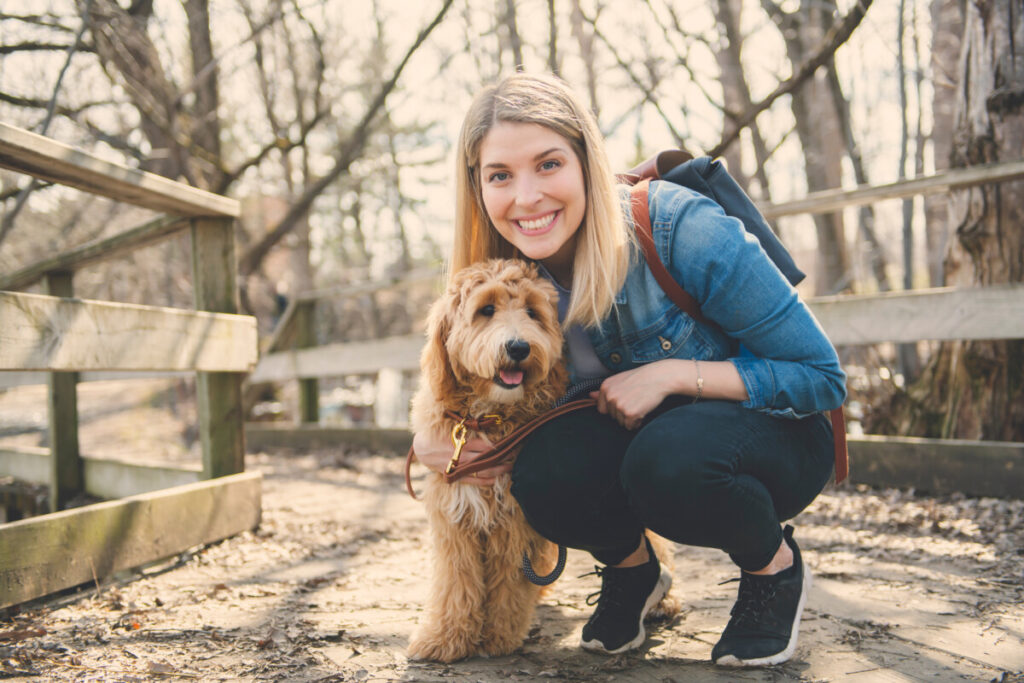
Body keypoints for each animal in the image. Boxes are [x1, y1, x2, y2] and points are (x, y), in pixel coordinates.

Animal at [407, 258, 679, 663]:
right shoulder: (456, 521)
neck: (489, 420)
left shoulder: (514, 525)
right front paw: (444, 639)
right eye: (486, 310)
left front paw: (498, 638)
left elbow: (508, 585)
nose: (519, 347)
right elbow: (456, 584)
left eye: (533, 313)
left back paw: (663, 597)